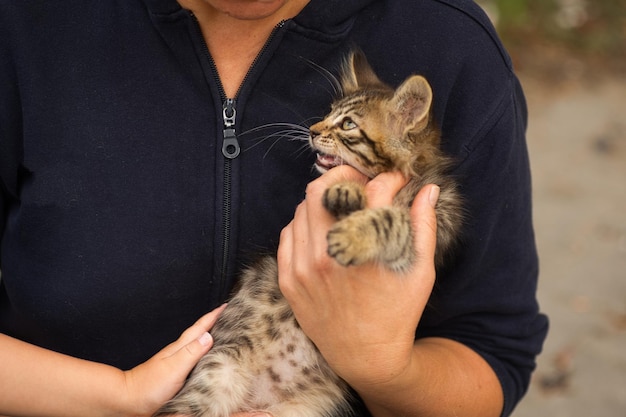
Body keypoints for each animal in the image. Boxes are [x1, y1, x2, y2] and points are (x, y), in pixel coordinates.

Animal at [154, 51, 460, 416]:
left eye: (347, 124)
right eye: (328, 113)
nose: (312, 131)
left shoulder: (429, 226)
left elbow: (389, 218)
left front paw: (352, 234)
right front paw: (346, 192)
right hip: (216, 374)